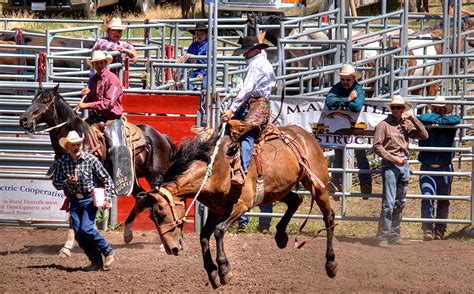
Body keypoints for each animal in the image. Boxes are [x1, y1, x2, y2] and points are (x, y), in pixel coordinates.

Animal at [19, 84, 176, 249]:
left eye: (44, 101)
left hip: (156, 175)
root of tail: (161, 136)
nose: (23, 119)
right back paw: (128, 234)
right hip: (134, 180)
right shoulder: (69, 183)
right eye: (33, 99)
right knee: (142, 196)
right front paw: (69, 244)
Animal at [135, 123, 338, 288]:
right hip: (279, 189)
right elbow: (204, 236)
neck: (215, 169)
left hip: (317, 185)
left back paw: (331, 264)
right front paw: (213, 273)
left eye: (161, 215)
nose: (172, 249)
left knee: (329, 216)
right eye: (152, 217)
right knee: (296, 200)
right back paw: (281, 236)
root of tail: (305, 135)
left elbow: (218, 231)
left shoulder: (241, 206)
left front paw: (224, 270)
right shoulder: (216, 210)